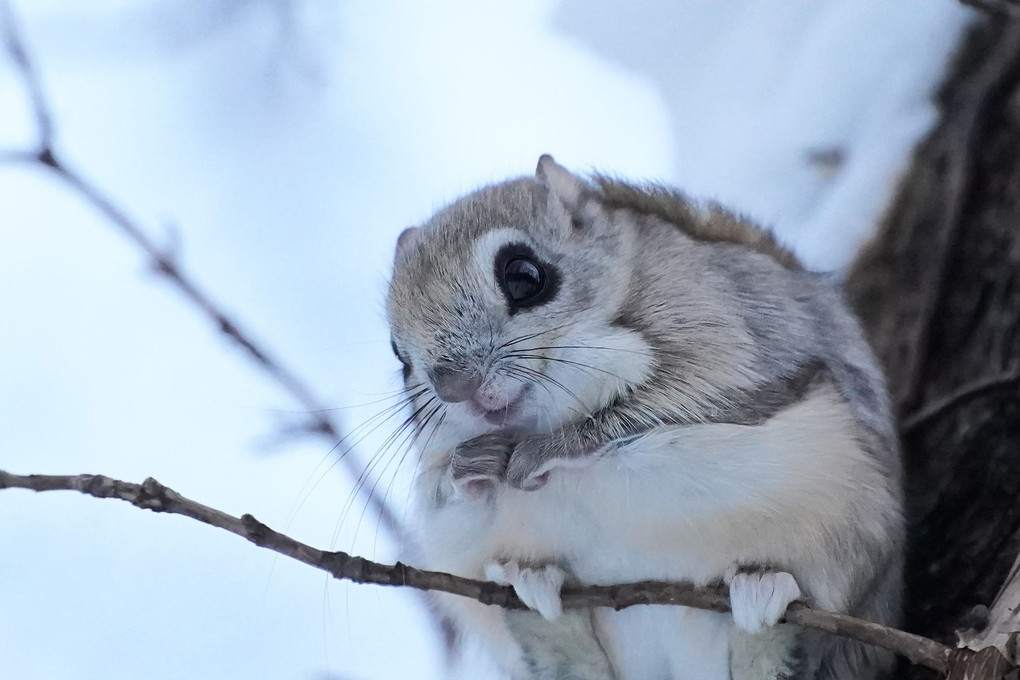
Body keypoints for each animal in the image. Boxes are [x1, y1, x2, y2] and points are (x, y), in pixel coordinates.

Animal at [383, 155, 901, 680]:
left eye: (525, 276)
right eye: (397, 354)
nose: (454, 387)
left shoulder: (725, 338)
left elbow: (657, 412)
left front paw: (545, 450)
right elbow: (444, 489)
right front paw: (471, 464)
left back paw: (765, 597)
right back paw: (532, 594)